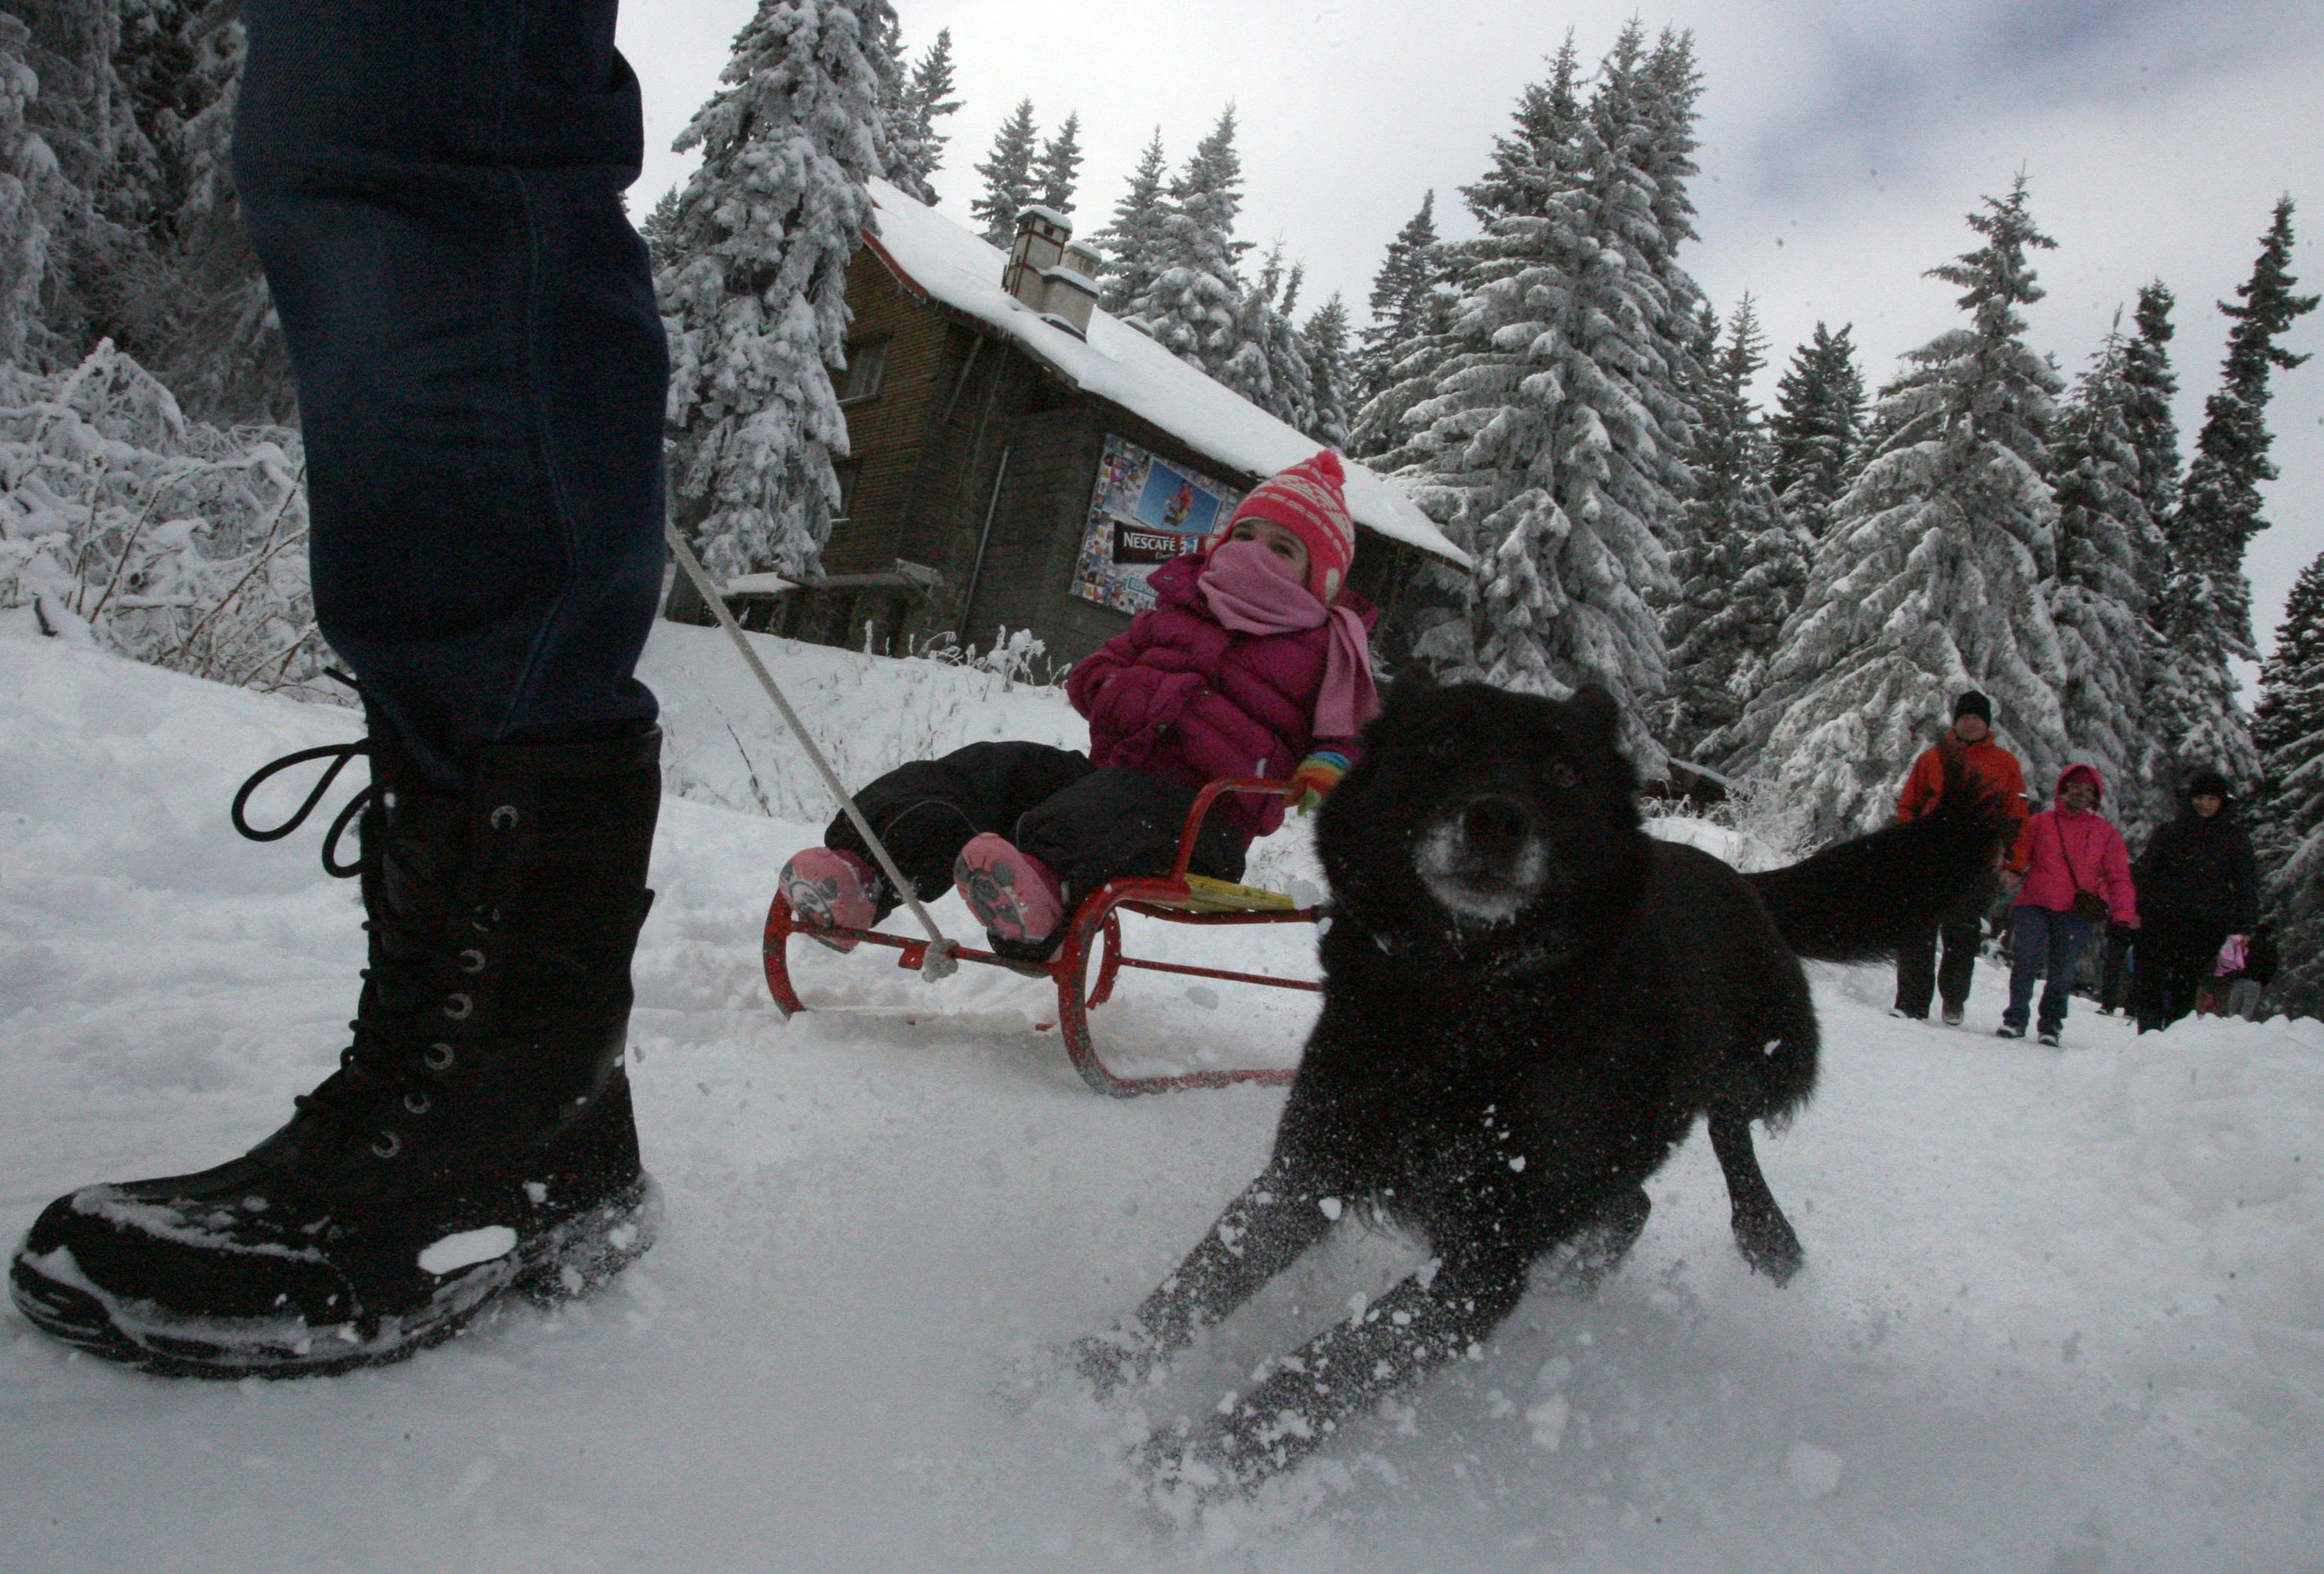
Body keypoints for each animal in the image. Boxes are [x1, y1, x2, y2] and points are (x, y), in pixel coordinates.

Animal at [1078, 674, 2008, 1497]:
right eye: (1442, 745)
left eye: (1563, 774)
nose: (1497, 817)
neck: (1466, 1006)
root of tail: (1744, 882)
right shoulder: (1311, 1171)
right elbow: (1197, 1286)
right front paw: (1083, 1377)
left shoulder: (1483, 1263)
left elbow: (1320, 1373)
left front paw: (1178, 1469)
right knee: (1633, 1203)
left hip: (1759, 1062)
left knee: (1728, 1129)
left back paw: (1764, 1234)